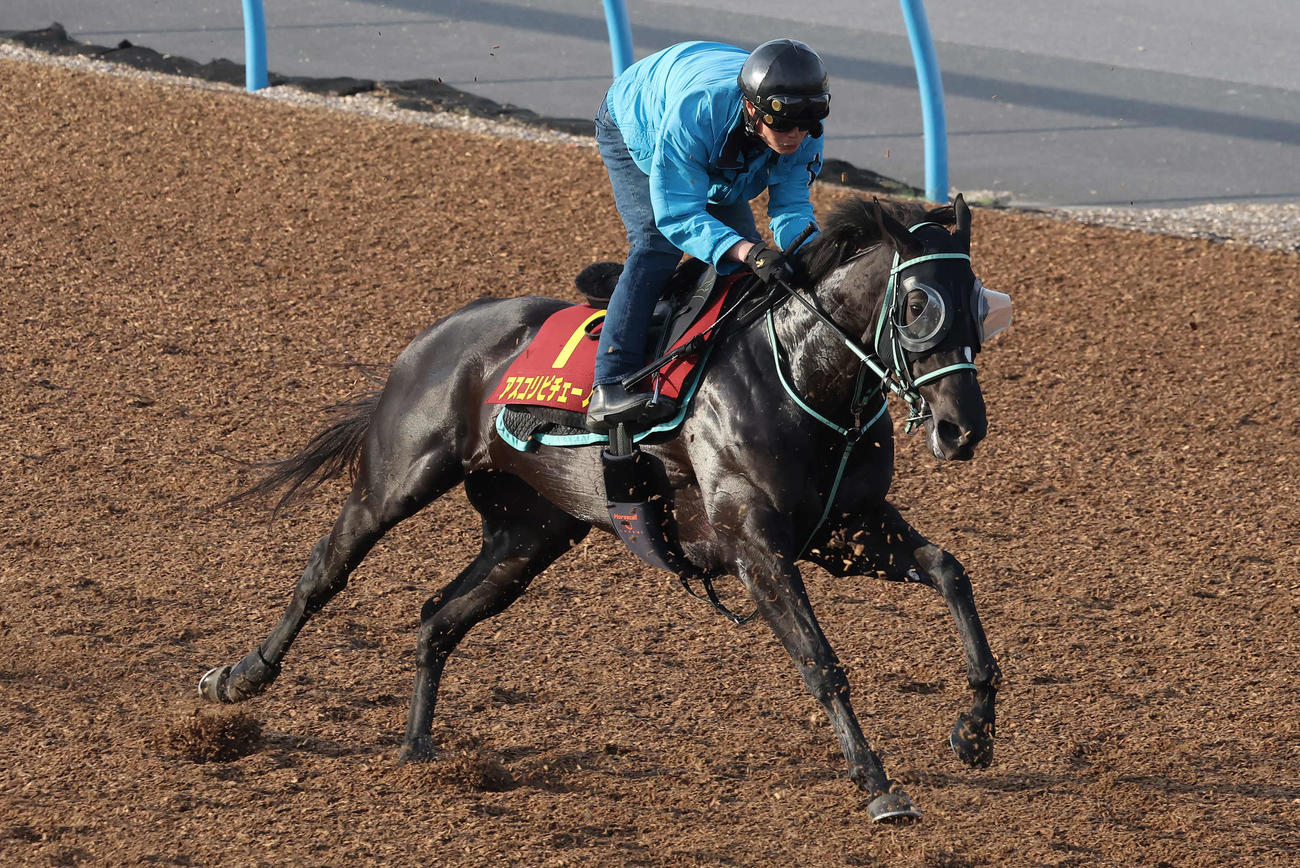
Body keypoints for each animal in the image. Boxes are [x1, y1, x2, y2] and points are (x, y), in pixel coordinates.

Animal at [199, 194, 1001, 822]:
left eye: (978, 305)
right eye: (919, 306)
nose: (962, 429)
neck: (799, 373)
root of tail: (441, 331)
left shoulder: (846, 531)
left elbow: (951, 571)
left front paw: (977, 729)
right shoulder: (757, 547)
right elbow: (819, 658)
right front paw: (878, 784)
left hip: (528, 533)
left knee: (438, 616)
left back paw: (420, 748)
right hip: (396, 482)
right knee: (323, 572)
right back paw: (239, 678)